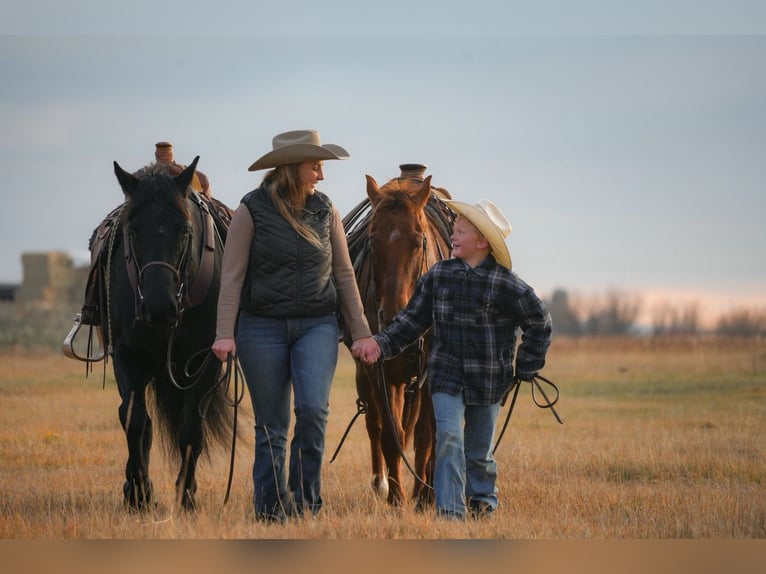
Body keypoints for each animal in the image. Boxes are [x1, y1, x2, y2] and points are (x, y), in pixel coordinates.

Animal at [97, 158, 234, 511]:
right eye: (132, 230)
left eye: (184, 229)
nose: (159, 307)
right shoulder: (127, 355)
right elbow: (135, 421)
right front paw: (139, 494)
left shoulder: (203, 361)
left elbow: (191, 428)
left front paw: (186, 497)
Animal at [343, 173, 454, 509]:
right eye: (371, 240)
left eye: (418, 241)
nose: (394, 313)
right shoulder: (379, 370)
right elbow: (390, 434)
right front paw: (396, 497)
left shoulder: (430, 372)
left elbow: (426, 434)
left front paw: (425, 496)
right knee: (375, 423)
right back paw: (382, 483)